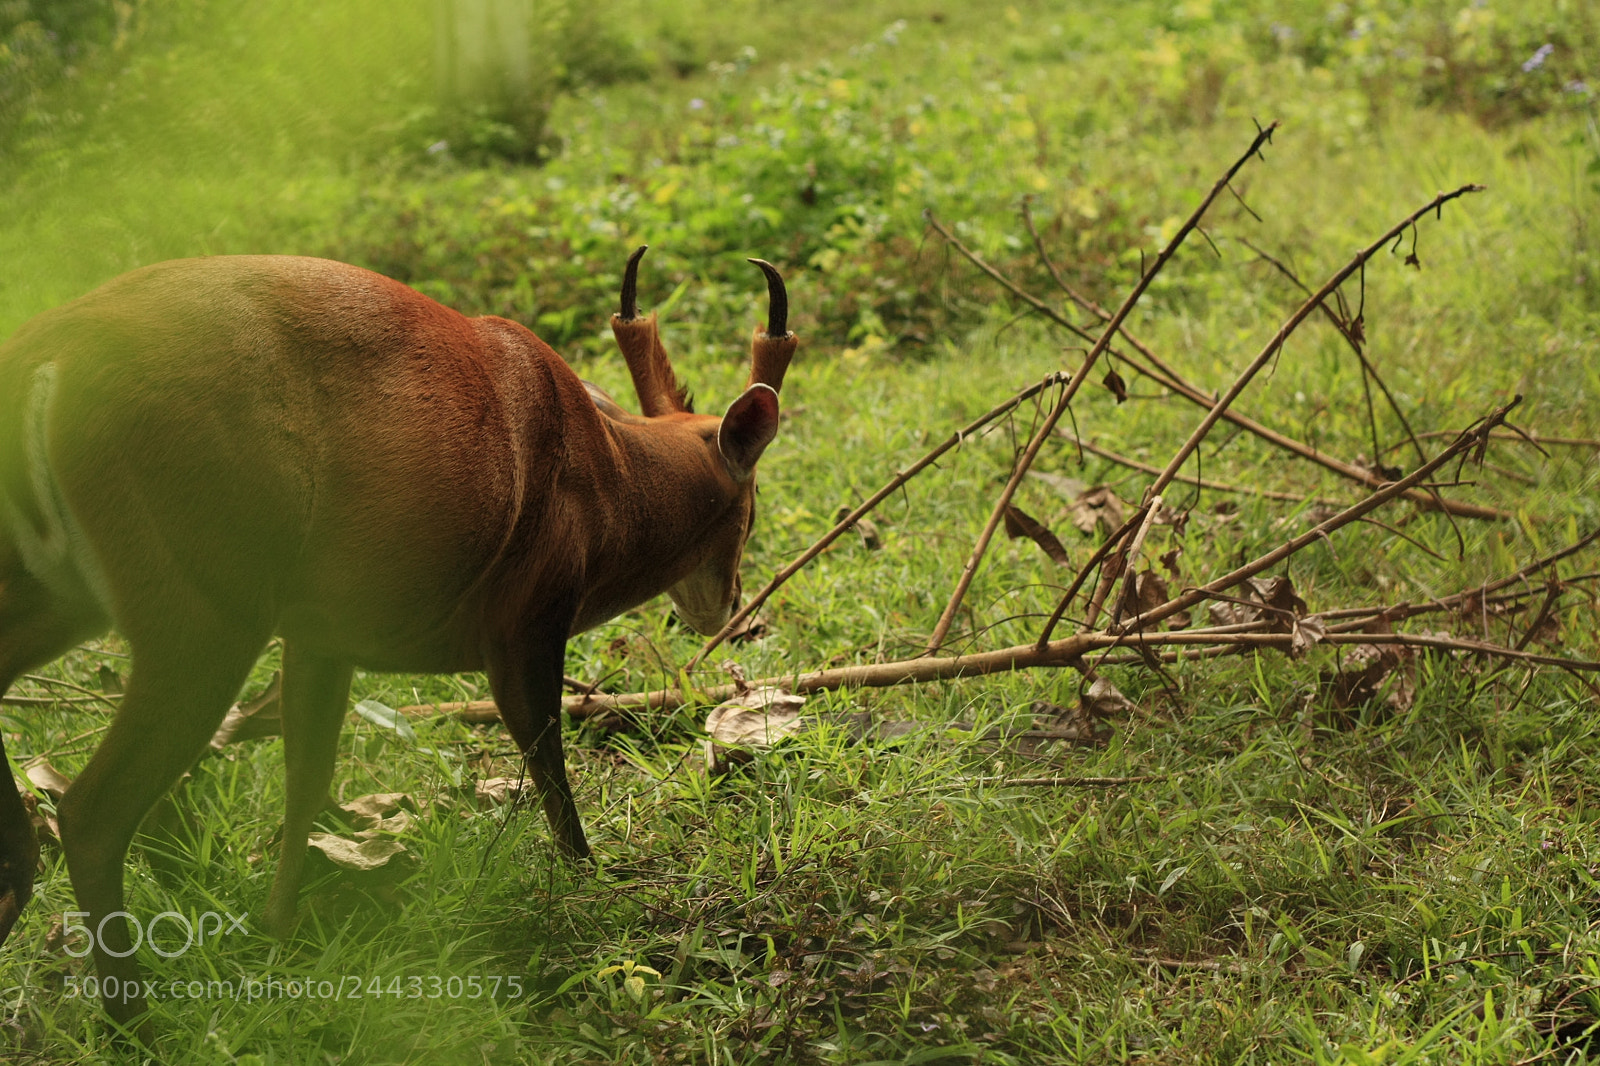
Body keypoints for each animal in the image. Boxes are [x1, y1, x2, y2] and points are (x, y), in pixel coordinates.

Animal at [0, 244, 796, 1042]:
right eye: (751, 503)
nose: (728, 606)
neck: (609, 485)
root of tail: (51, 352)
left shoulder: (323, 633)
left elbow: (307, 776)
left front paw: (278, 932)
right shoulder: (527, 612)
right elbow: (546, 760)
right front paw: (589, 884)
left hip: (64, 596)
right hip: (206, 600)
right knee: (92, 812)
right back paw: (137, 1023)